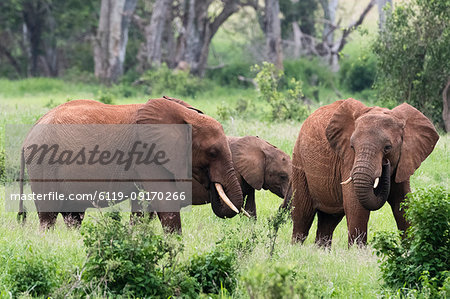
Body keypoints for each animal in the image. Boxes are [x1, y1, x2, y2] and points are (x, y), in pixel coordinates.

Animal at [19, 96, 246, 232]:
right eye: (212, 152)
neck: (185, 115)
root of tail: (29, 133)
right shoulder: (149, 154)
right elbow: (165, 201)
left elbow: (142, 209)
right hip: (43, 164)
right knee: (48, 214)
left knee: (73, 215)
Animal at [284, 99, 440, 247]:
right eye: (352, 147)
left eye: (388, 148)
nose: (386, 164)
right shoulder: (347, 161)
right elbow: (356, 206)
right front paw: (356, 251)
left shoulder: (404, 161)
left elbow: (403, 204)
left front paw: (409, 250)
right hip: (299, 161)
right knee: (302, 215)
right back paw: (296, 247)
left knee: (328, 220)